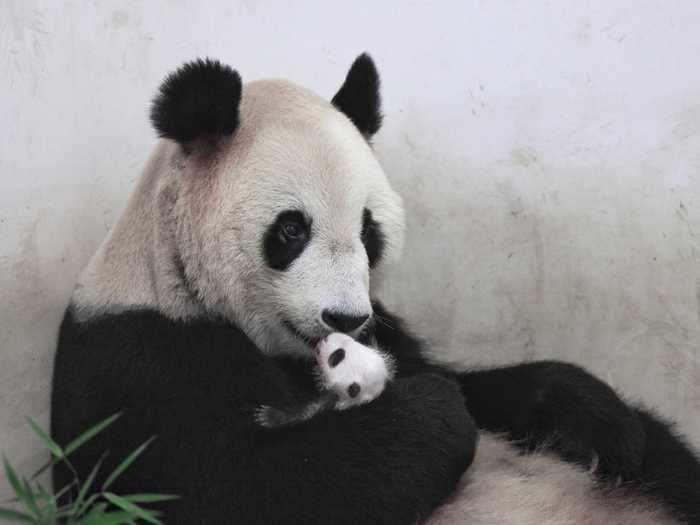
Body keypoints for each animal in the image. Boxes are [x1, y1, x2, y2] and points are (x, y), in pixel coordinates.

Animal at [52, 54, 700, 524]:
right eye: (292, 229)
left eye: (369, 230)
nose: (344, 320)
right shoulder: (144, 364)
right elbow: (252, 488)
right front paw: (431, 406)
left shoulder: (388, 323)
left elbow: (483, 387)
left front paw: (598, 421)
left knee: (670, 460)